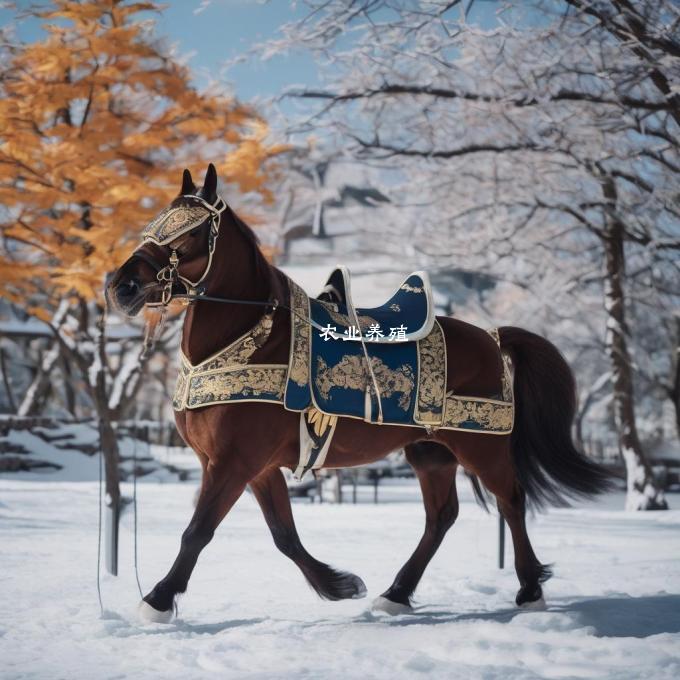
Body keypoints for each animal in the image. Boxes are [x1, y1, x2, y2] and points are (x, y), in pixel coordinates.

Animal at [106, 163, 612, 620]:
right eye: (156, 222)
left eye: (188, 232)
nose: (120, 285)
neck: (250, 339)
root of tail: (491, 334)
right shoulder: (256, 467)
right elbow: (283, 534)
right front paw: (338, 584)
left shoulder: (234, 461)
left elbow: (199, 530)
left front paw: (158, 599)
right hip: (430, 453)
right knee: (441, 516)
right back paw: (397, 593)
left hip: (480, 448)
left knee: (512, 501)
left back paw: (529, 590)